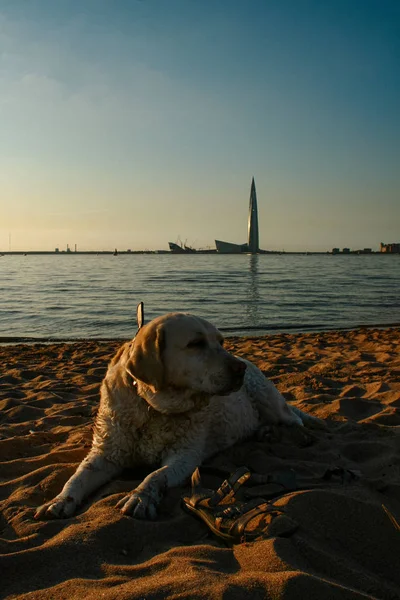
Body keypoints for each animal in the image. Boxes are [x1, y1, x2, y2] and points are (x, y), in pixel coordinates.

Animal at [35, 314, 322, 520]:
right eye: (196, 344)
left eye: (221, 342)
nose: (239, 368)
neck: (152, 407)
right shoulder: (106, 453)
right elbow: (77, 478)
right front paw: (59, 501)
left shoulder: (185, 456)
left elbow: (155, 476)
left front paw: (140, 497)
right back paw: (265, 432)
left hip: (268, 398)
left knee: (294, 421)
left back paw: (295, 434)